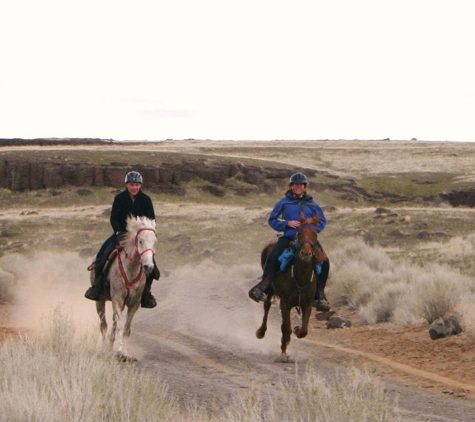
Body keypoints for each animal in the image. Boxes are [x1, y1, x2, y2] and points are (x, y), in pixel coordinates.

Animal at [92, 218, 159, 360]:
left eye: (154, 242)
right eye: (140, 241)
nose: (148, 266)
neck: (131, 269)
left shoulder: (134, 303)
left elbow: (126, 328)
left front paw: (124, 353)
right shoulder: (117, 298)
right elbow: (120, 326)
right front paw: (120, 352)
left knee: (113, 323)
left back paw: (110, 346)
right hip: (99, 301)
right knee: (104, 325)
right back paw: (104, 349)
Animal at [256, 213, 320, 362]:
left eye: (315, 234)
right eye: (299, 233)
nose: (306, 253)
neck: (300, 277)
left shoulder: (307, 304)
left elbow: (303, 331)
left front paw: (296, 330)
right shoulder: (285, 303)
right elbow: (285, 327)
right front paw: (283, 352)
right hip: (270, 289)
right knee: (267, 306)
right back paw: (261, 331)